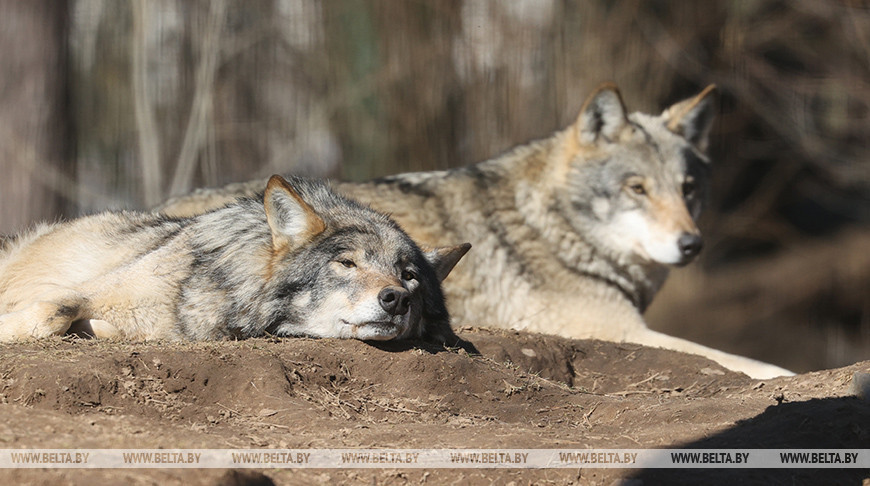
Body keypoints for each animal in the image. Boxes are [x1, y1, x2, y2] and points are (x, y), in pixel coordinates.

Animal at [157, 85, 796, 378]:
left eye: (688, 188)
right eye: (637, 189)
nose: (692, 244)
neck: (552, 228)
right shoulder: (616, 330)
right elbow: (744, 361)